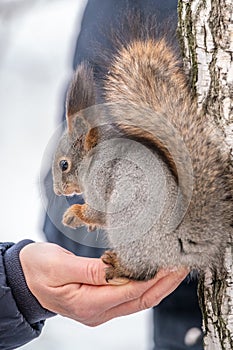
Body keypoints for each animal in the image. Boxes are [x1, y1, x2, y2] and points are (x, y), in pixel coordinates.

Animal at [52, 12, 232, 284]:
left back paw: (120, 267)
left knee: (143, 271)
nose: (57, 191)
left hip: (128, 222)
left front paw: (75, 213)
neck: (92, 157)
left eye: (64, 164)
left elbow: (97, 210)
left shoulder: (100, 179)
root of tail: (179, 246)